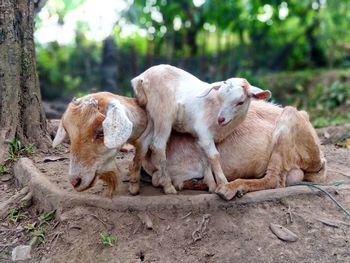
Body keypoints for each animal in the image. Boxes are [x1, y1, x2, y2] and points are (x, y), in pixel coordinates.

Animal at [131, 64, 270, 194]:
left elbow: (206, 159)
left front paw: (212, 185)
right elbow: (214, 156)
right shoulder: (204, 131)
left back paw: (134, 186)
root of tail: (141, 78)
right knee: (157, 146)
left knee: (142, 142)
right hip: (163, 114)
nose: (221, 119)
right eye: (221, 97)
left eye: (240, 102)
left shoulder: (203, 138)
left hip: (152, 115)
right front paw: (224, 184)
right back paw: (168, 186)